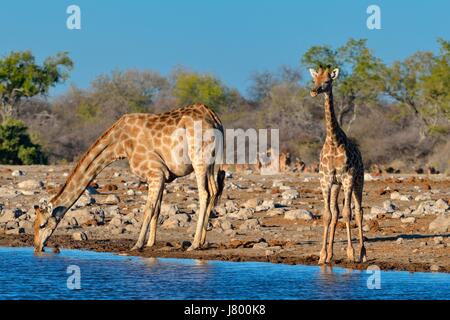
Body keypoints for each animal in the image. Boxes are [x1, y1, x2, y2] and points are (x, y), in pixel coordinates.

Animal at [32, 104, 225, 254]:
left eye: (42, 225)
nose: (37, 247)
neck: (120, 144)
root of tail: (214, 118)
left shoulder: (155, 172)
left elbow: (148, 209)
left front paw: (137, 245)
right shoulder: (161, 175)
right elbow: (157, 209)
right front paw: (150, 243)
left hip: (198, 158)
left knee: (204, 194)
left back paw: (193, 244)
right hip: (210, 161)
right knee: (214, 191)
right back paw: (202, 242)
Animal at [312, 66, 368, 264]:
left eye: (327, 81)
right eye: (314, 80)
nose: (314, 91)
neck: (333, 140)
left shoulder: (347, 177)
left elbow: (347, 213)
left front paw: (351, 253)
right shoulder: (326, 180)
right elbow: (328, 215)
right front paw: (322, 255)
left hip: (358, 181)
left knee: (358, 211)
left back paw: (363, 253)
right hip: (336, 186)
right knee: (335, 213)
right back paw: (330, 253)